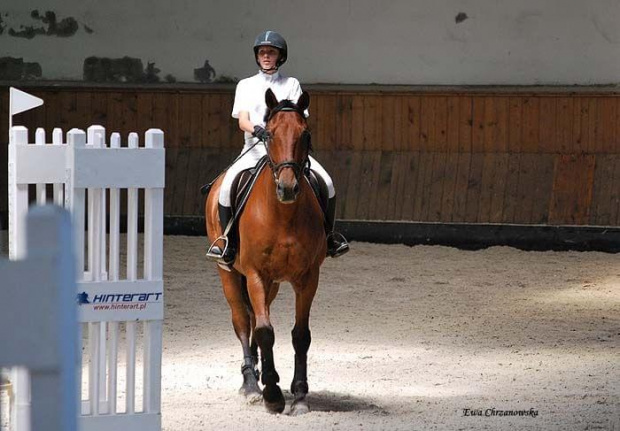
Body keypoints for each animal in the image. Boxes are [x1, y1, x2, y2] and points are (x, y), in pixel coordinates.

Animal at [206, 88, 326, 416]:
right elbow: (264, 330)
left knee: (255, 316)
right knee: (242, 321)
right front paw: (272, 395)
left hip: (271, 284)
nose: (287, 188)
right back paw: (250, 385)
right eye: (269, 134)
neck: (283, 214)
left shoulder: (308, 277)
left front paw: (299, 395)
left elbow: (300, 335)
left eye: (305, 134)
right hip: (229, 273)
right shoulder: (255, 274)